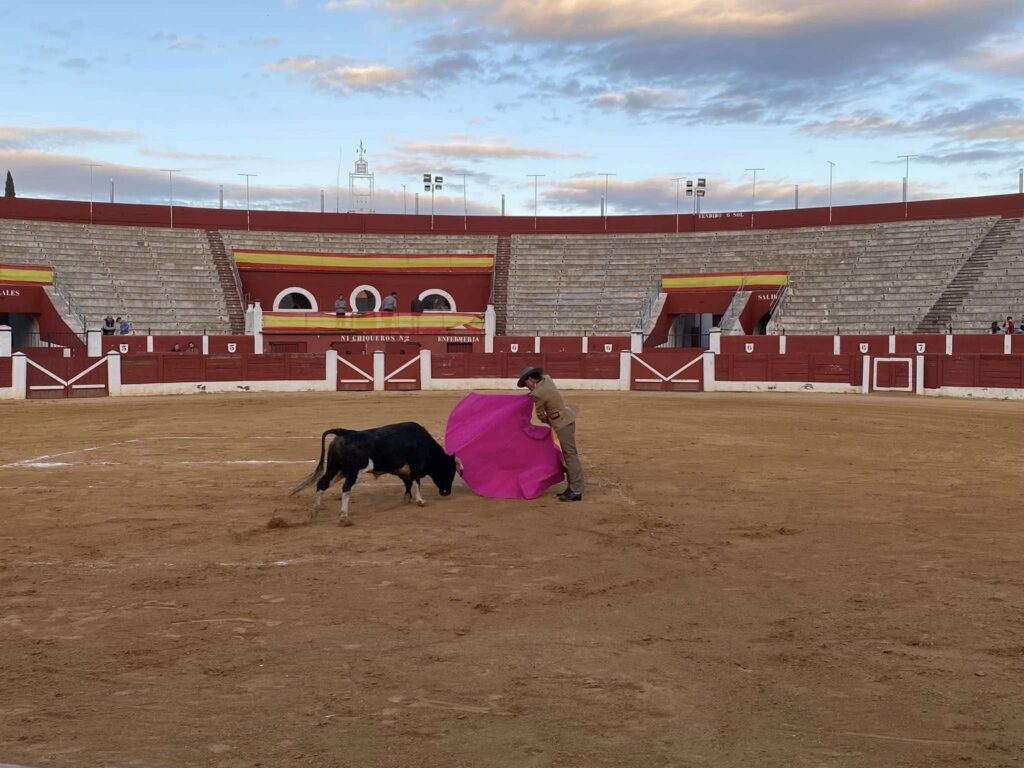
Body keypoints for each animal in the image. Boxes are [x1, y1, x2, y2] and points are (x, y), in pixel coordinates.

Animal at [290, 423, 462, 528]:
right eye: (451, 470)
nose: (446, 492)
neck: (424, 443)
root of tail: (344, 432)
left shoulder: (403, 471)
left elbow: (408, 483)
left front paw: (406, 499)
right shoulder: (416, 466)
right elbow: (416, 482)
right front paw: (420, 501)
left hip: (336, 469)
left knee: (322, 483)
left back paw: (314, 511)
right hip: (352, 472)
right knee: (346, 488)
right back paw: (344, 517)